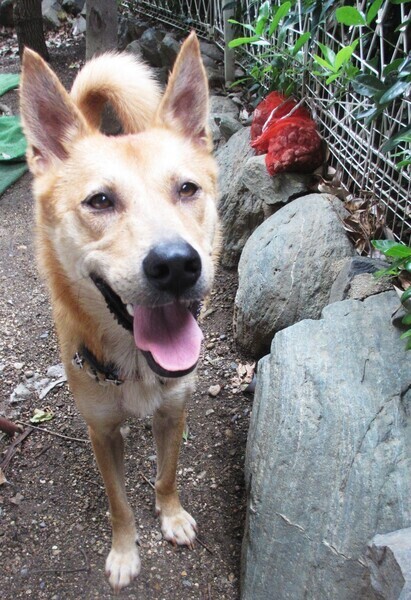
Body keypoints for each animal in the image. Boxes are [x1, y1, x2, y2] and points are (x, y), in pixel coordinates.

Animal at [19, 32, 220, 591]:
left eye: (187, 188)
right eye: (100, 201)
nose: (175, 266)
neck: (135, 361)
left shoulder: (174, 411)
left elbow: (167, 475)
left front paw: (171, 516)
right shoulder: (101, 433)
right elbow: (118, 503)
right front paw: (126, 551)